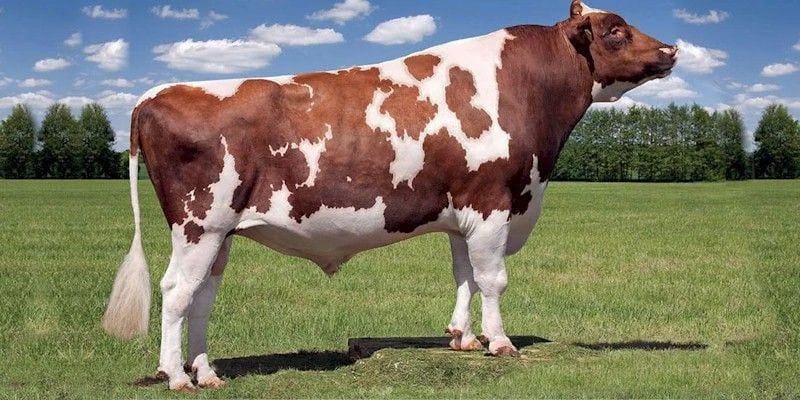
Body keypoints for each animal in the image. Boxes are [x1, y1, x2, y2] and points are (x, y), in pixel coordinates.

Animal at [102, 1, 677, 391]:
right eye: (616, 30)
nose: (672, 49)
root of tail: (155, 94)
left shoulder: (463, 213)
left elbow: (465, 275)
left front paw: (462, 337)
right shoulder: (493, 202)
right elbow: (494, 280)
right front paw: (500, 342)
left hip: (220, 234)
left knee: (201, 297)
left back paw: (207, 372)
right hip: (198, 224)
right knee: (176, 291)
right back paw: (176, 375)